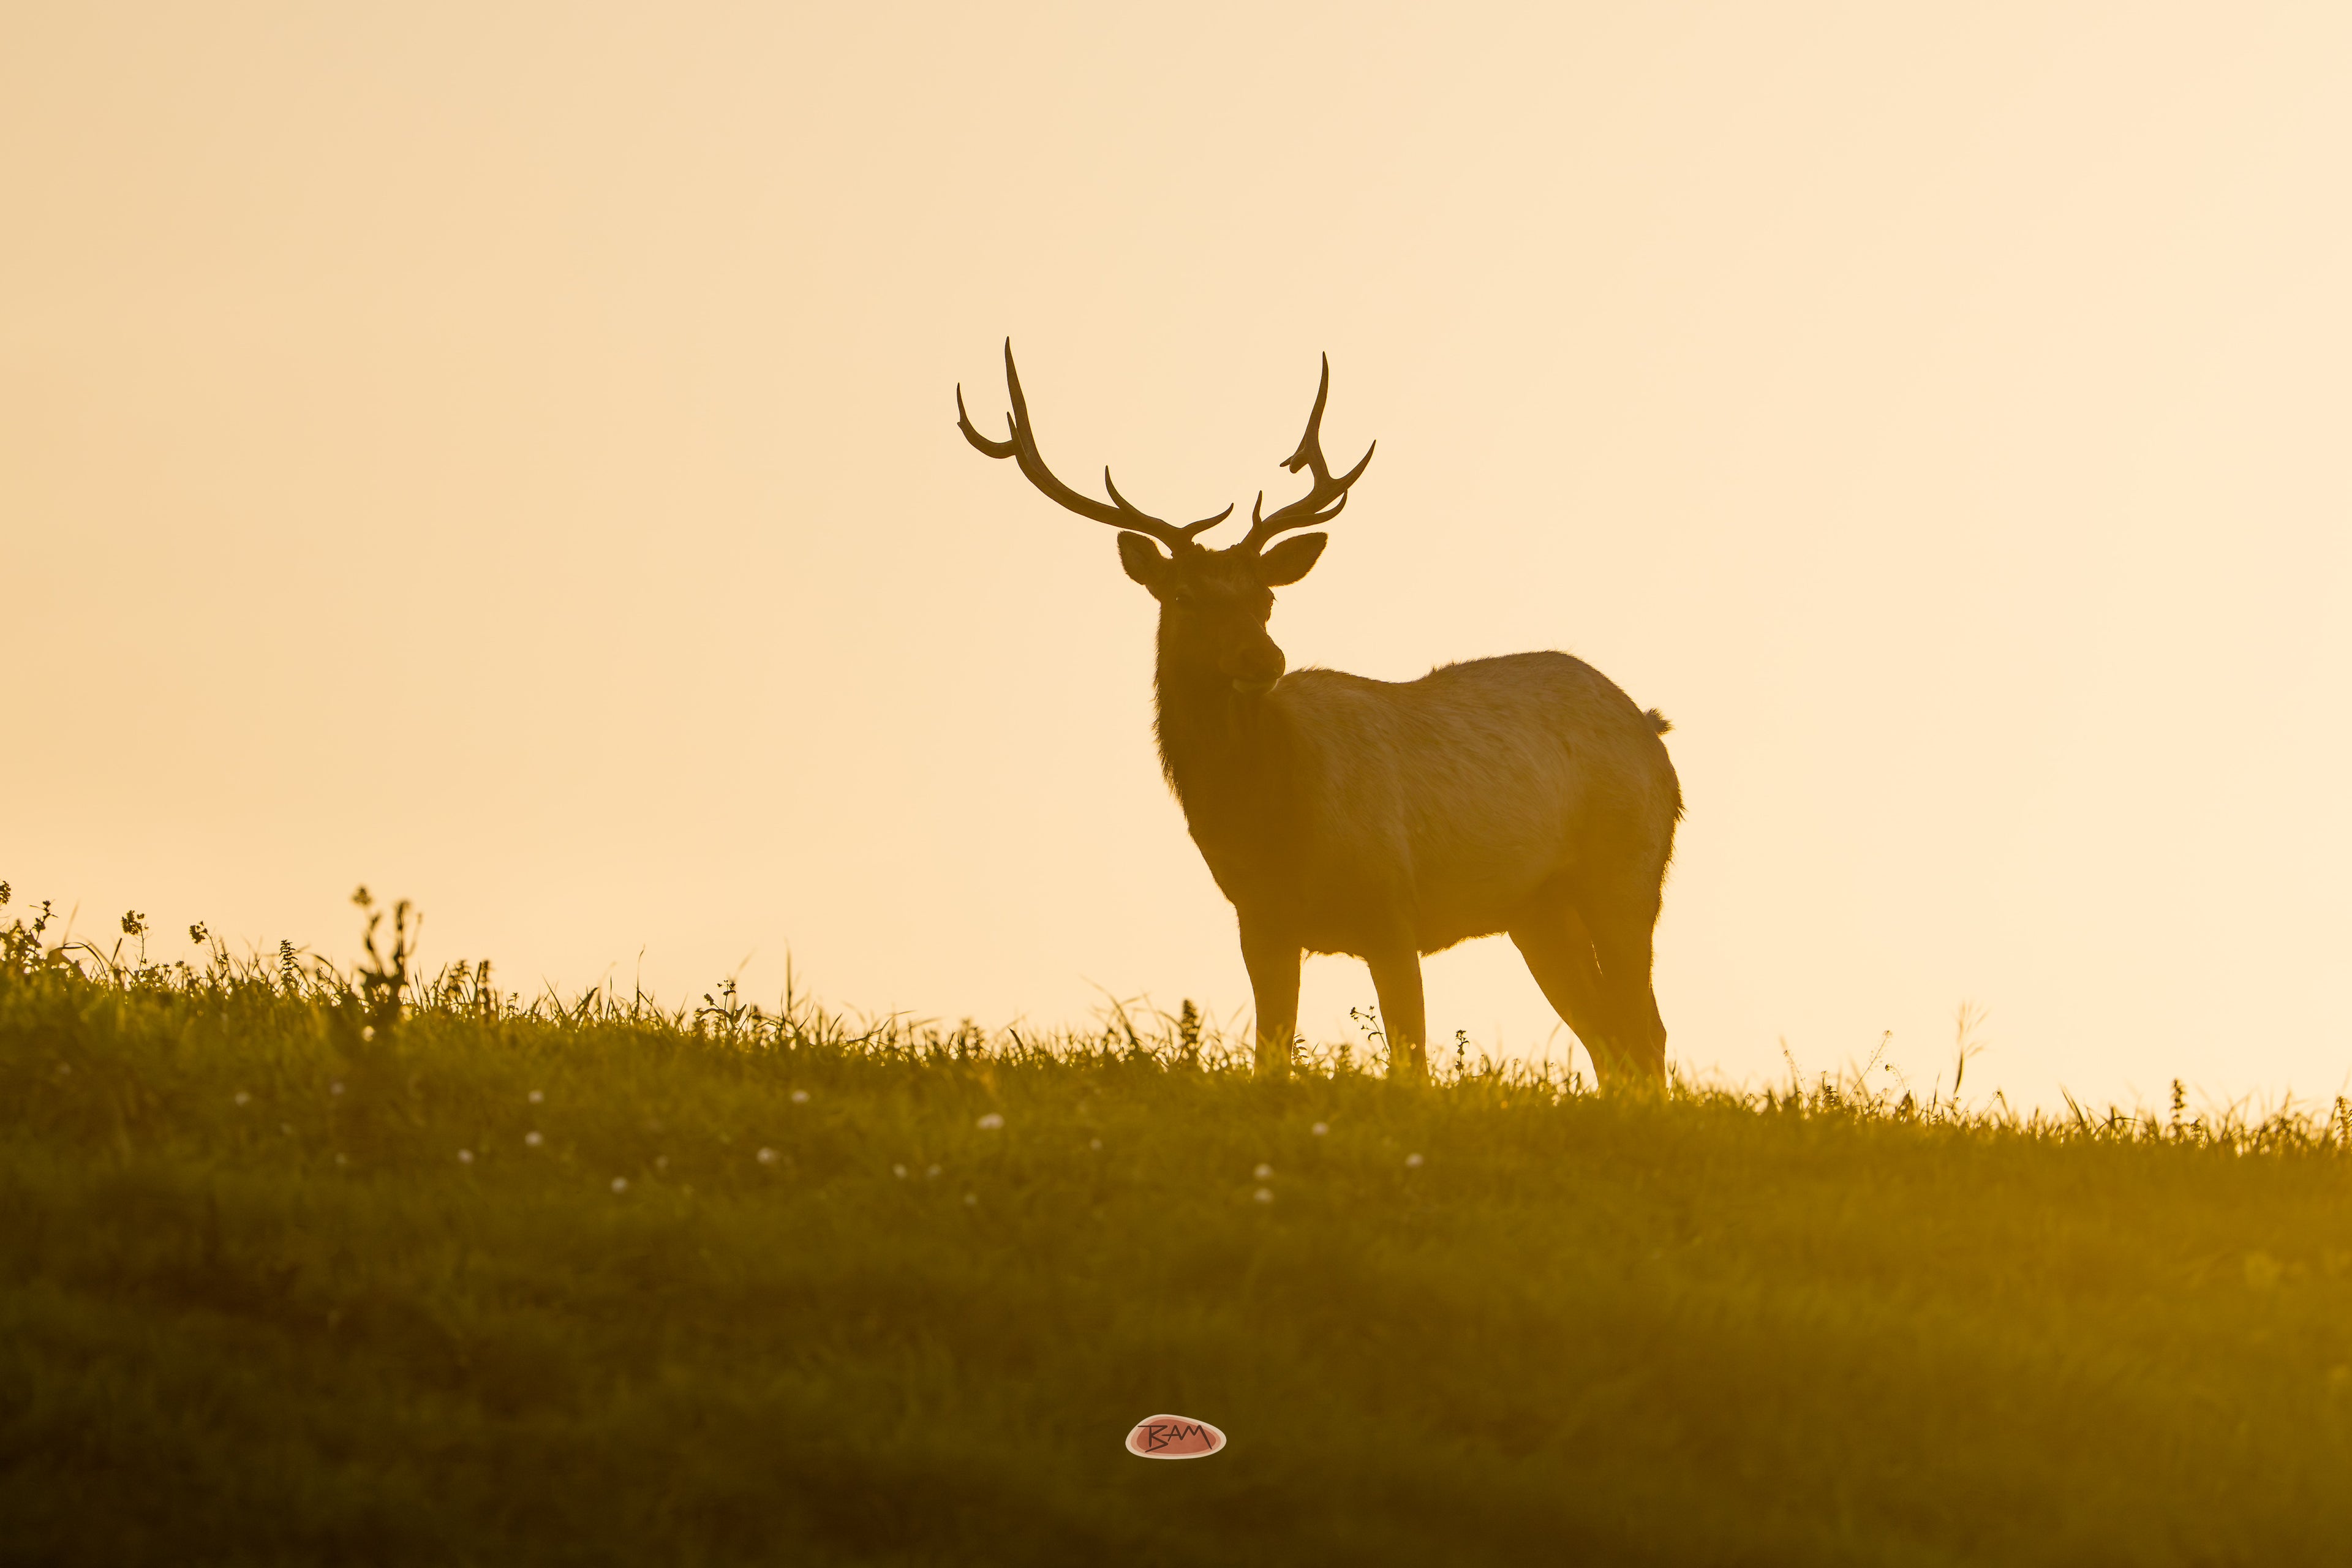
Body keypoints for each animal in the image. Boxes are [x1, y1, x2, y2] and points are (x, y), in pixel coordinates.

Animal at [956, 342, 1681, 1088]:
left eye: (1266, 597)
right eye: (1184, 596)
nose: (1264, 657)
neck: (1268, 819)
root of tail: (1650, 727)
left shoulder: (1392, 907)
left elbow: (1411, 1063)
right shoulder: (1260, 921)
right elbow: (1270, 1055)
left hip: (1625, 870)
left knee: (1645, 1028)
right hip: (1537, 909)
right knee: (1608, 1037)